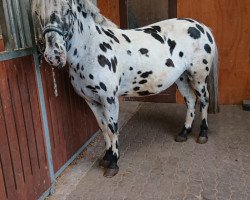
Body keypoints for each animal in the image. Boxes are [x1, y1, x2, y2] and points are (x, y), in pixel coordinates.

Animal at [32, 0, 219, 178]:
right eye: (37, 13)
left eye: (68, 11)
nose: (54, 55)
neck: (90, 50)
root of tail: (202, 27)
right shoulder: (92, 101)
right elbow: (103, 128)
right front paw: (106, 157)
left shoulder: (109, 100)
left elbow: (113, 128)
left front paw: (113, 163)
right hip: (181, 78)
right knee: (191, 100)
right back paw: (184, 133)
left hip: (199, 77)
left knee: (204, 100)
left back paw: (202, 134)